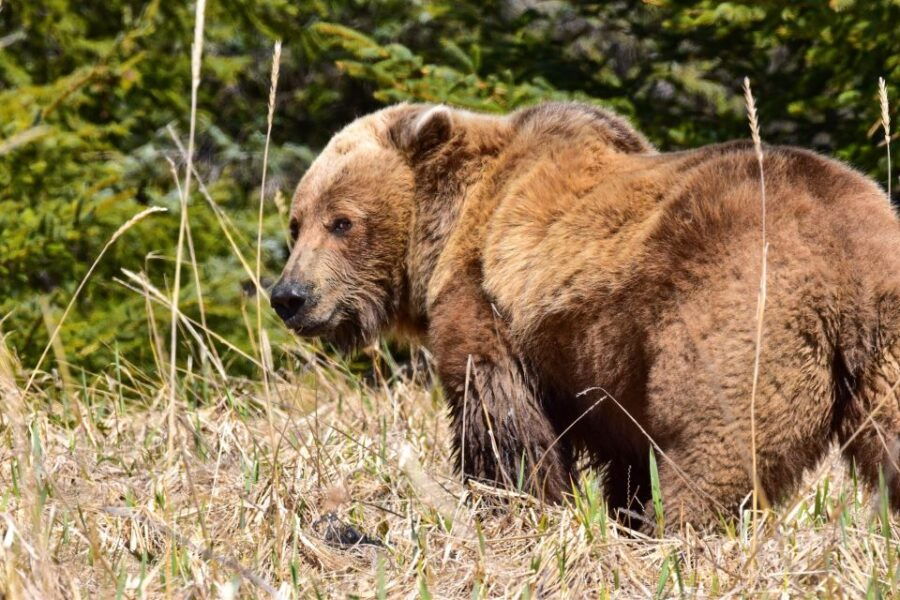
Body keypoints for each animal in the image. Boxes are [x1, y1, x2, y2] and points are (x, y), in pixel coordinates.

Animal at [271, 100, 900, 530]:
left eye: (342, 221)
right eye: (296, 223)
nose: (290, 295)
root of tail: (845, 256)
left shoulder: (492, 307)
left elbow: (499, 419)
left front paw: (516, 504)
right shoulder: (604, 371)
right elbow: (624, 458)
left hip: (733, 307)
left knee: (711, 443)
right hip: (886, 347)